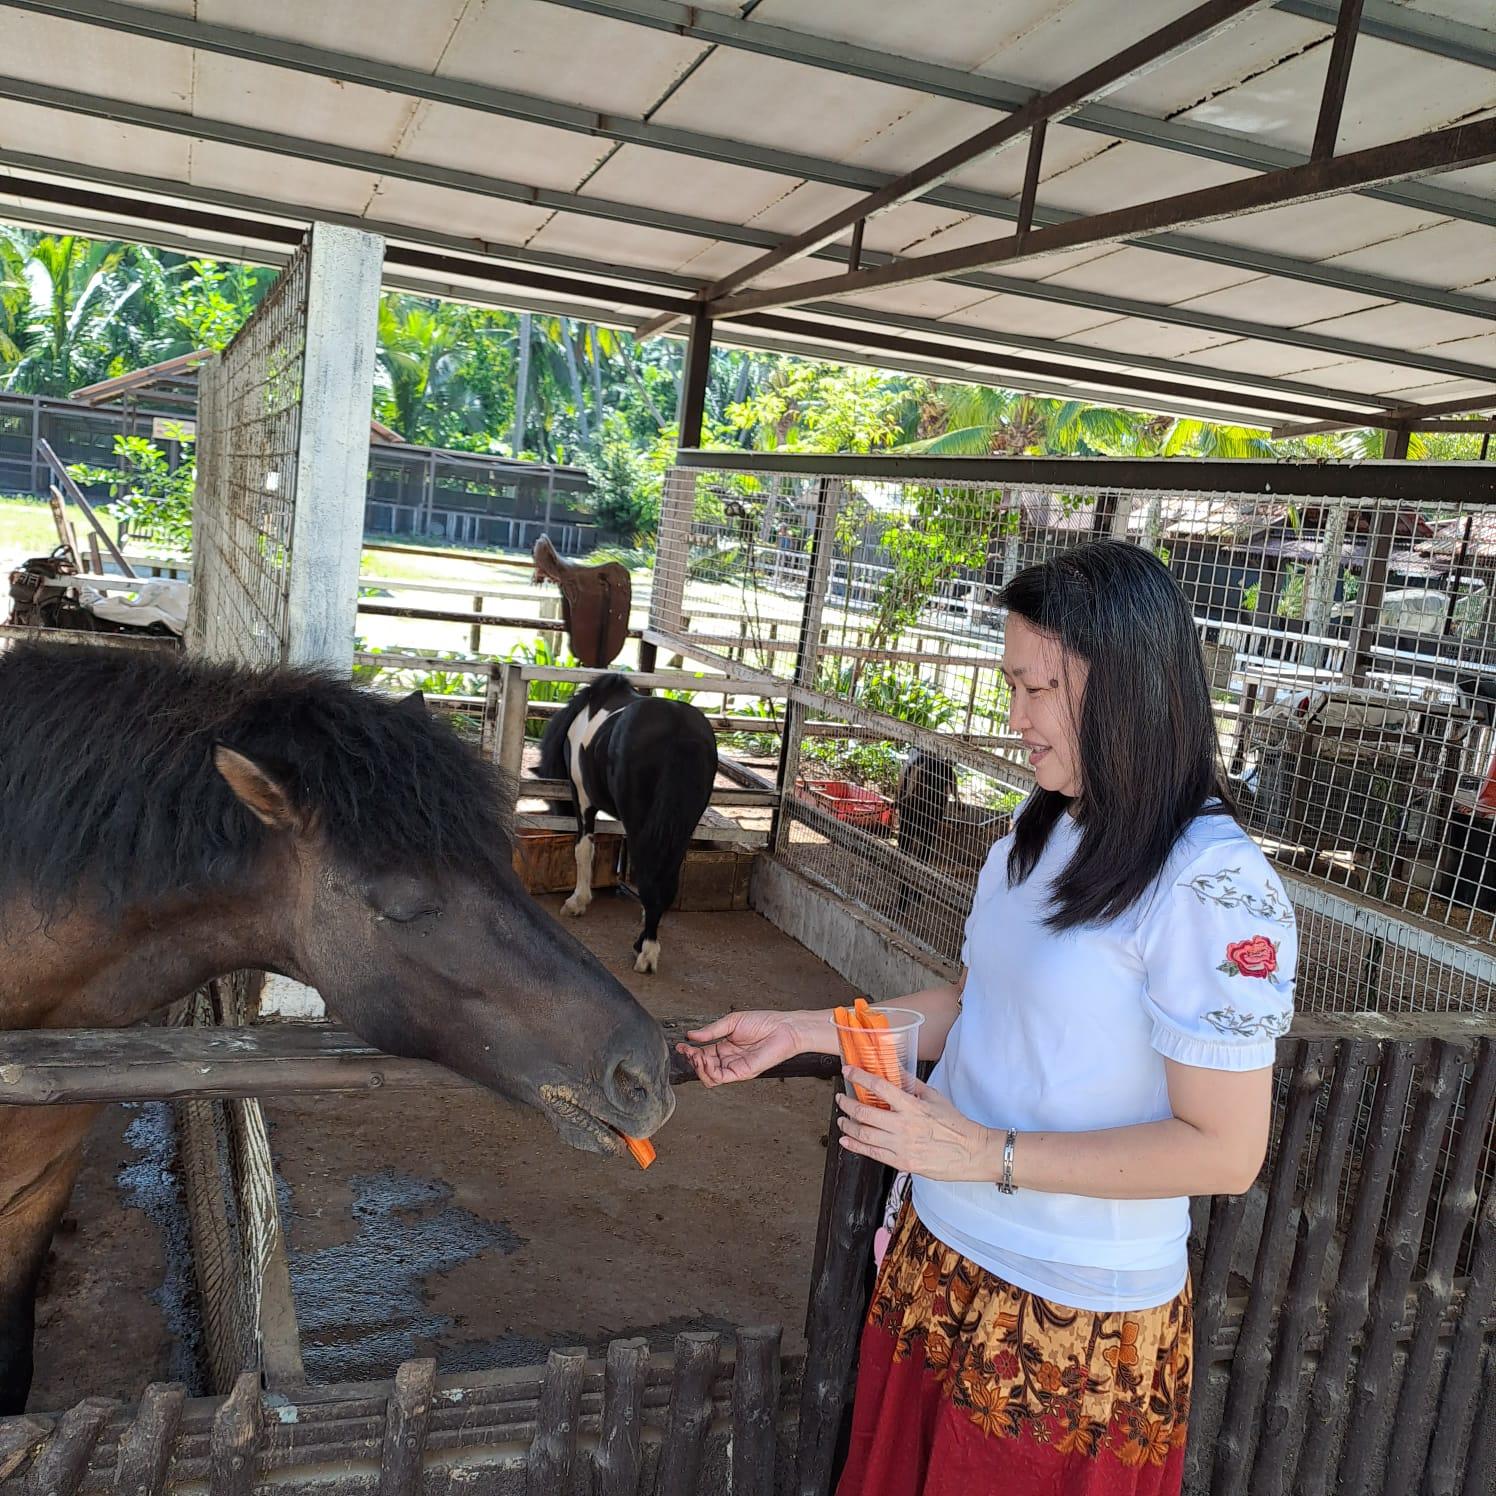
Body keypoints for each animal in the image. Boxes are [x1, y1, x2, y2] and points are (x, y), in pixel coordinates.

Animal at [544, 676, 718, 975]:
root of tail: (680, 731)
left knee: (649, 876)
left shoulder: (583, 798)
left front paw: (577, 901)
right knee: (665, 879)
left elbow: (583, 849)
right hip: (681, 827)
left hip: (640, 823)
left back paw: (646, 951)